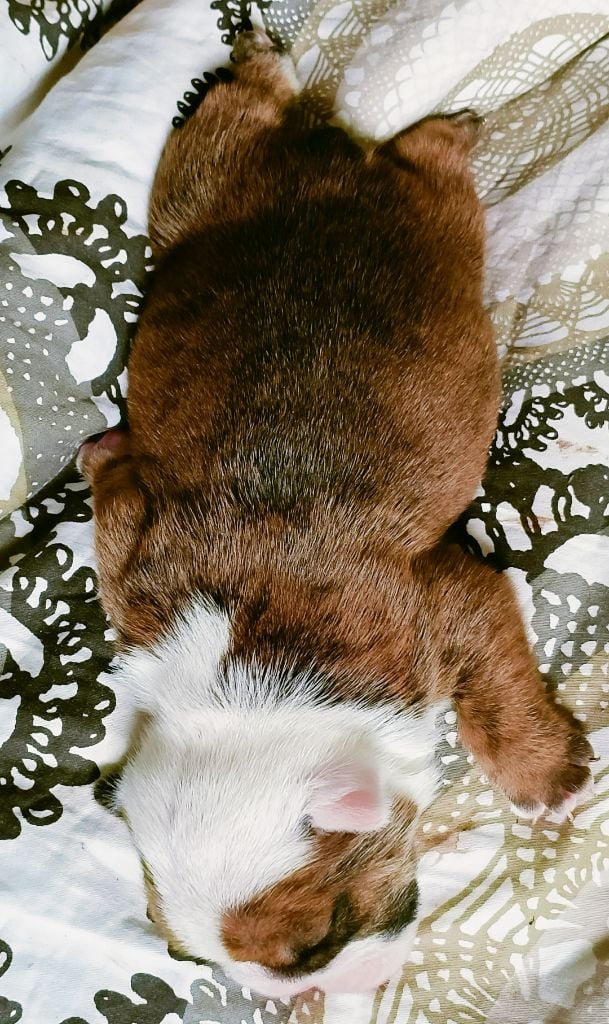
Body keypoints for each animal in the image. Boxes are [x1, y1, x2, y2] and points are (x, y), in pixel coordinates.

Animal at [78, 30, 593, 998]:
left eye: (315, 944)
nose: (316, 995)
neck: (241, 697)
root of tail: (329, 161)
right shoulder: (129, 551)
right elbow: (115, 498)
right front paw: (102, 453)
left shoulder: (442, 605)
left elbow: (497, 686)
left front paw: (548, 778)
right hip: (191, 199)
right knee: (234, 126)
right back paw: (261, 73)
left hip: (442, 215)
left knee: (425, 161)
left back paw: (429, 123)